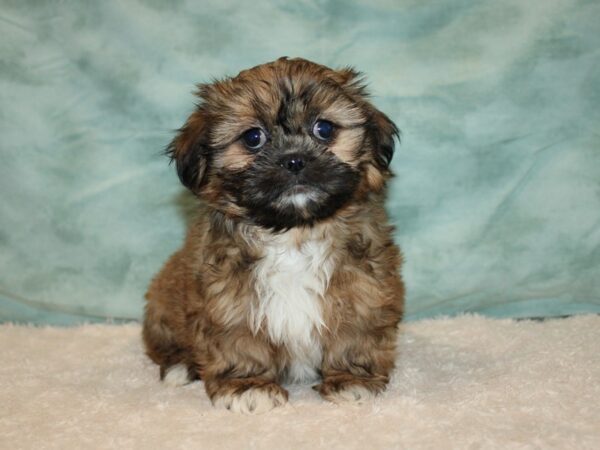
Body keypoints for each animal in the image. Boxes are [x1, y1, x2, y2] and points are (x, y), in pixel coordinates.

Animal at [142, 58, 404, 414]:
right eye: (253, 137)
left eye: (324, 129)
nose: (294, 159)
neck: (294, 233)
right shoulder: (228, 301)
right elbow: (240, 341)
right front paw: (248, 386)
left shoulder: (364, 290)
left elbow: (354, 334)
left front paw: (352, 380)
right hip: (161, 304)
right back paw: (180, 366)